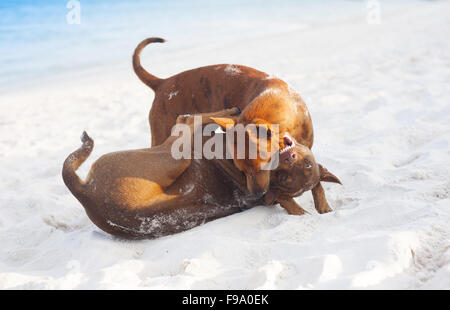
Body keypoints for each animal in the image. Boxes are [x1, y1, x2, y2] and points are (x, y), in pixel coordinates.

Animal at [61, 108, 340, 239]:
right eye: (307, 164)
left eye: (283, 178)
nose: (288, 156)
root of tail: (86, 195)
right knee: (188, 120)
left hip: (174, 155)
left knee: (185, 121)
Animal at [134, 37, 342, 214]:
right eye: (241, 169)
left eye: (265, 165)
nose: (257, 194)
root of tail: (162, 83)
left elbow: (317, 182)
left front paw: (323, 206)